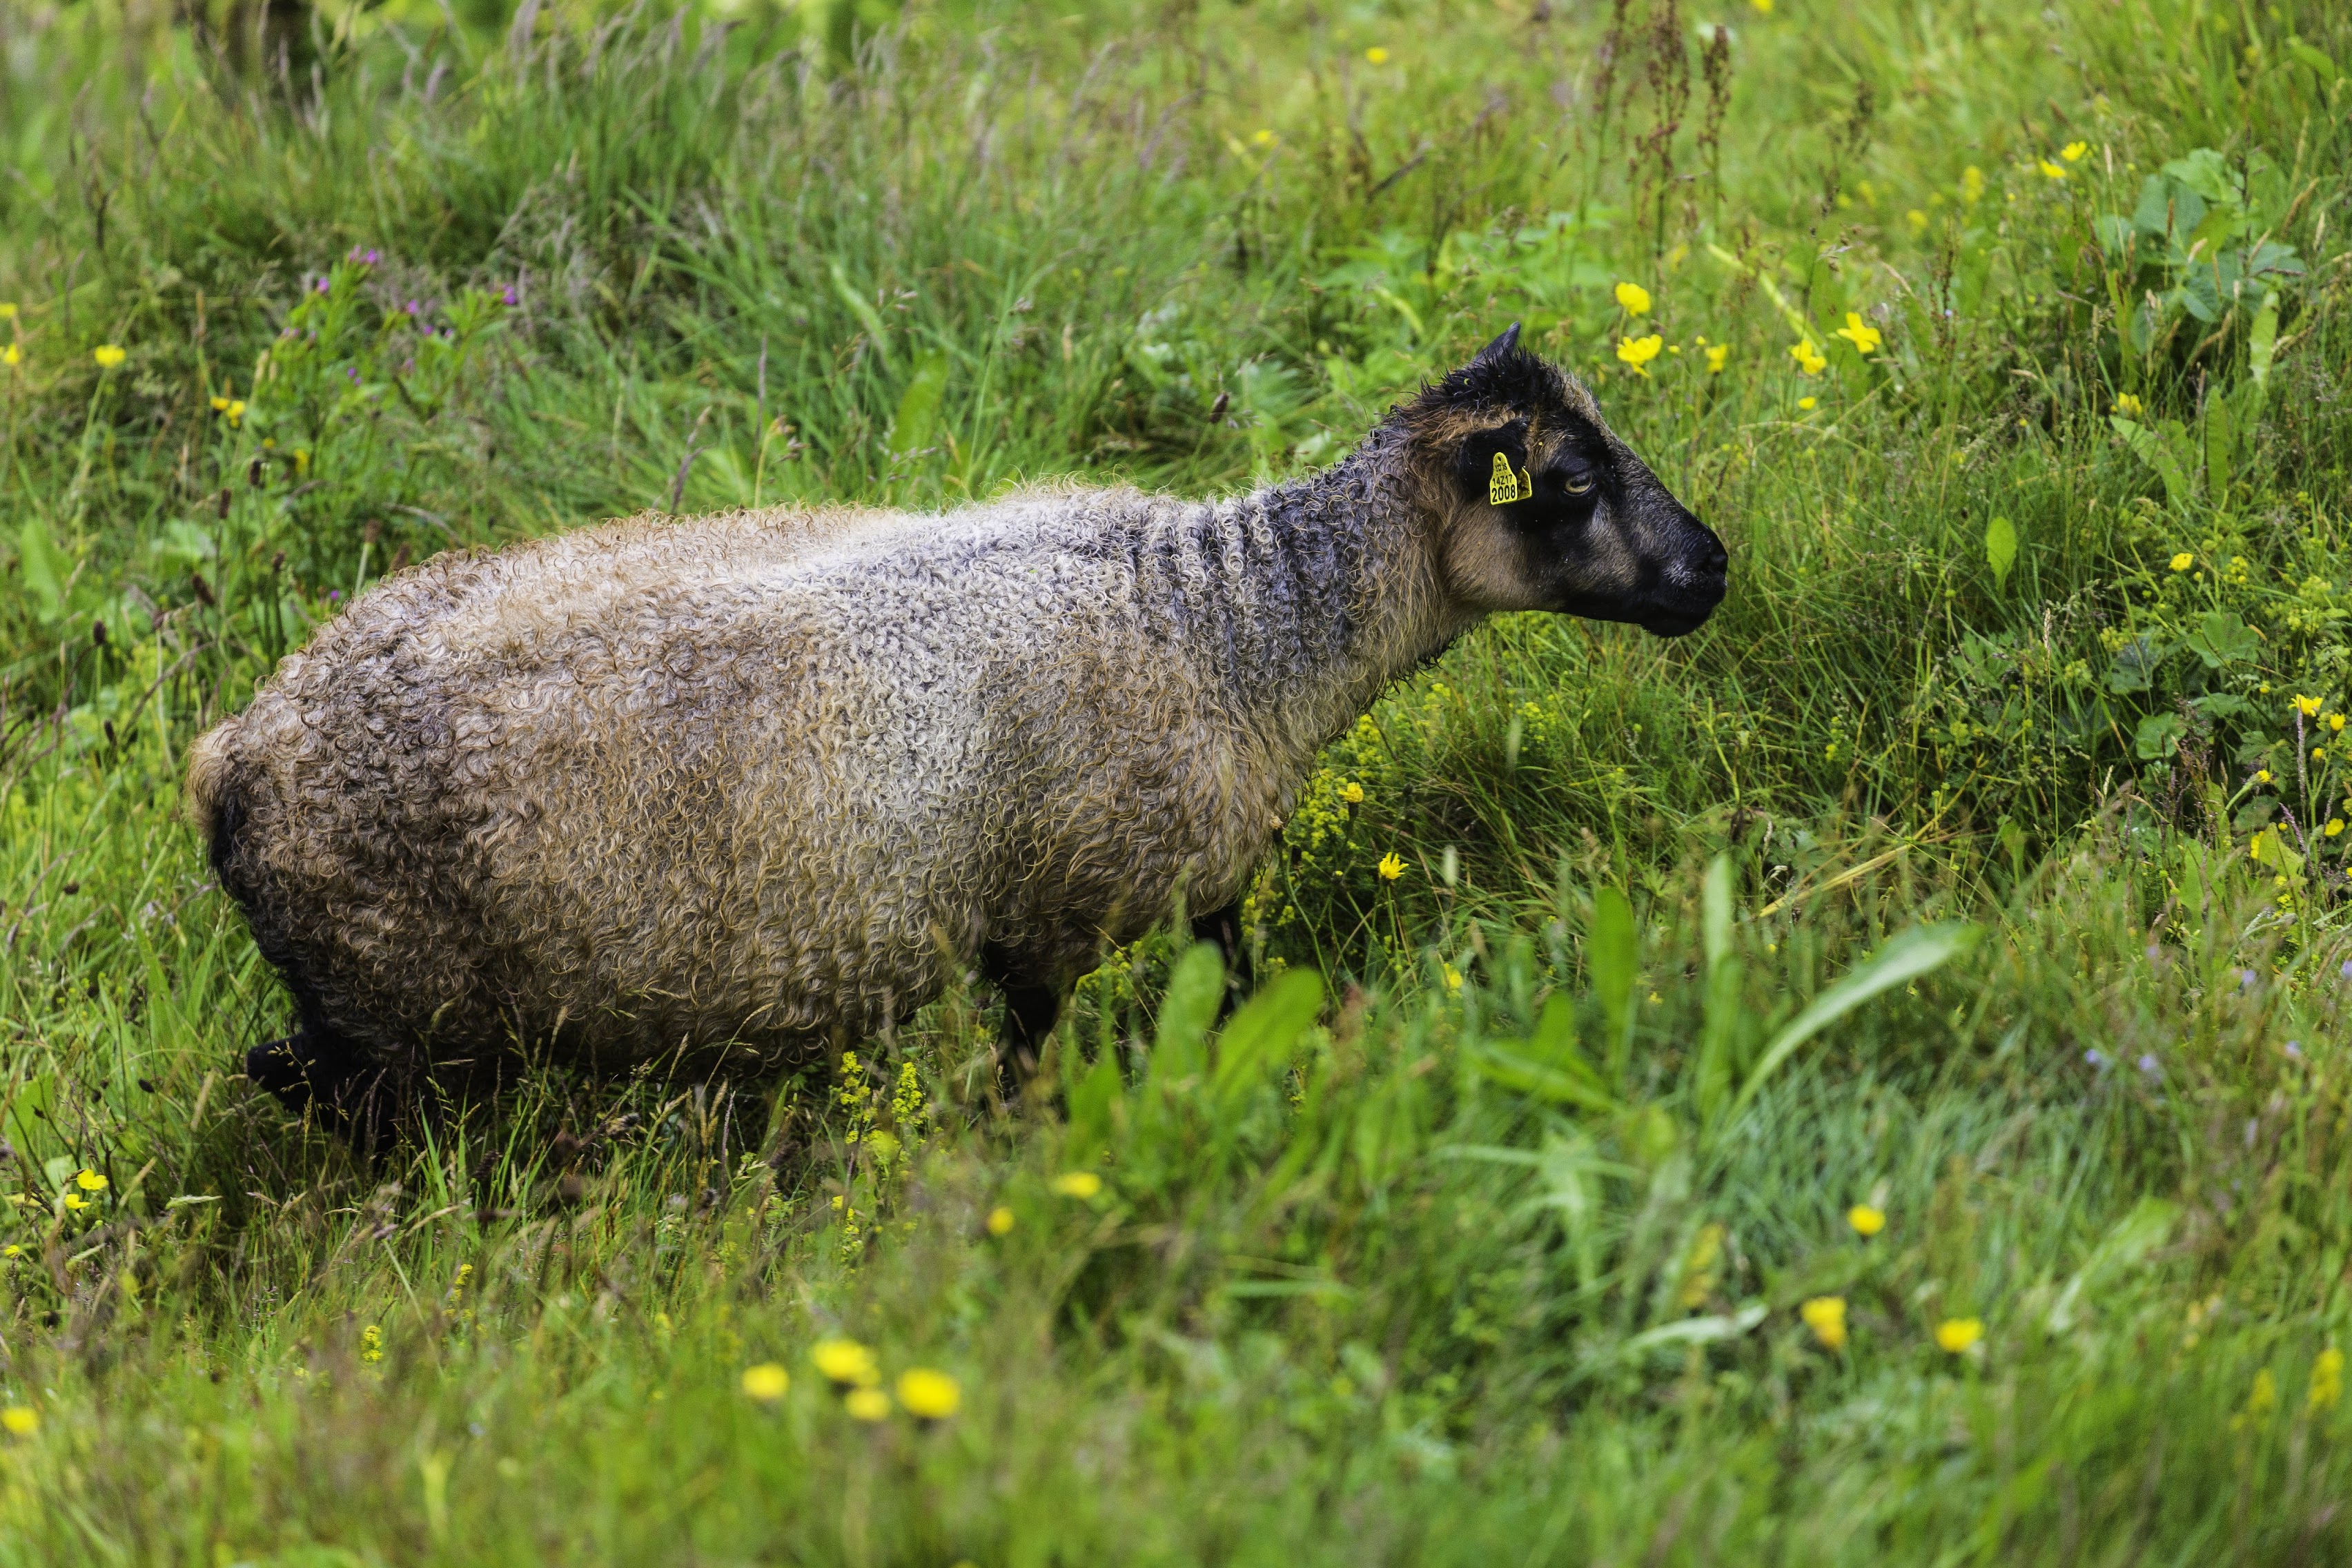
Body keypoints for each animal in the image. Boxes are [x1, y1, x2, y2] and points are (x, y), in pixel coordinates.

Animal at [188, 329, 1731, 1142]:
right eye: (1573, 480)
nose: (1715, 569)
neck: (1233, 629)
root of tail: (235, 754)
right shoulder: (1044, 919)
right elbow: (1035, 1068)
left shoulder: (1210, 874)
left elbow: (1238, 983)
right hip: (399, 1018)